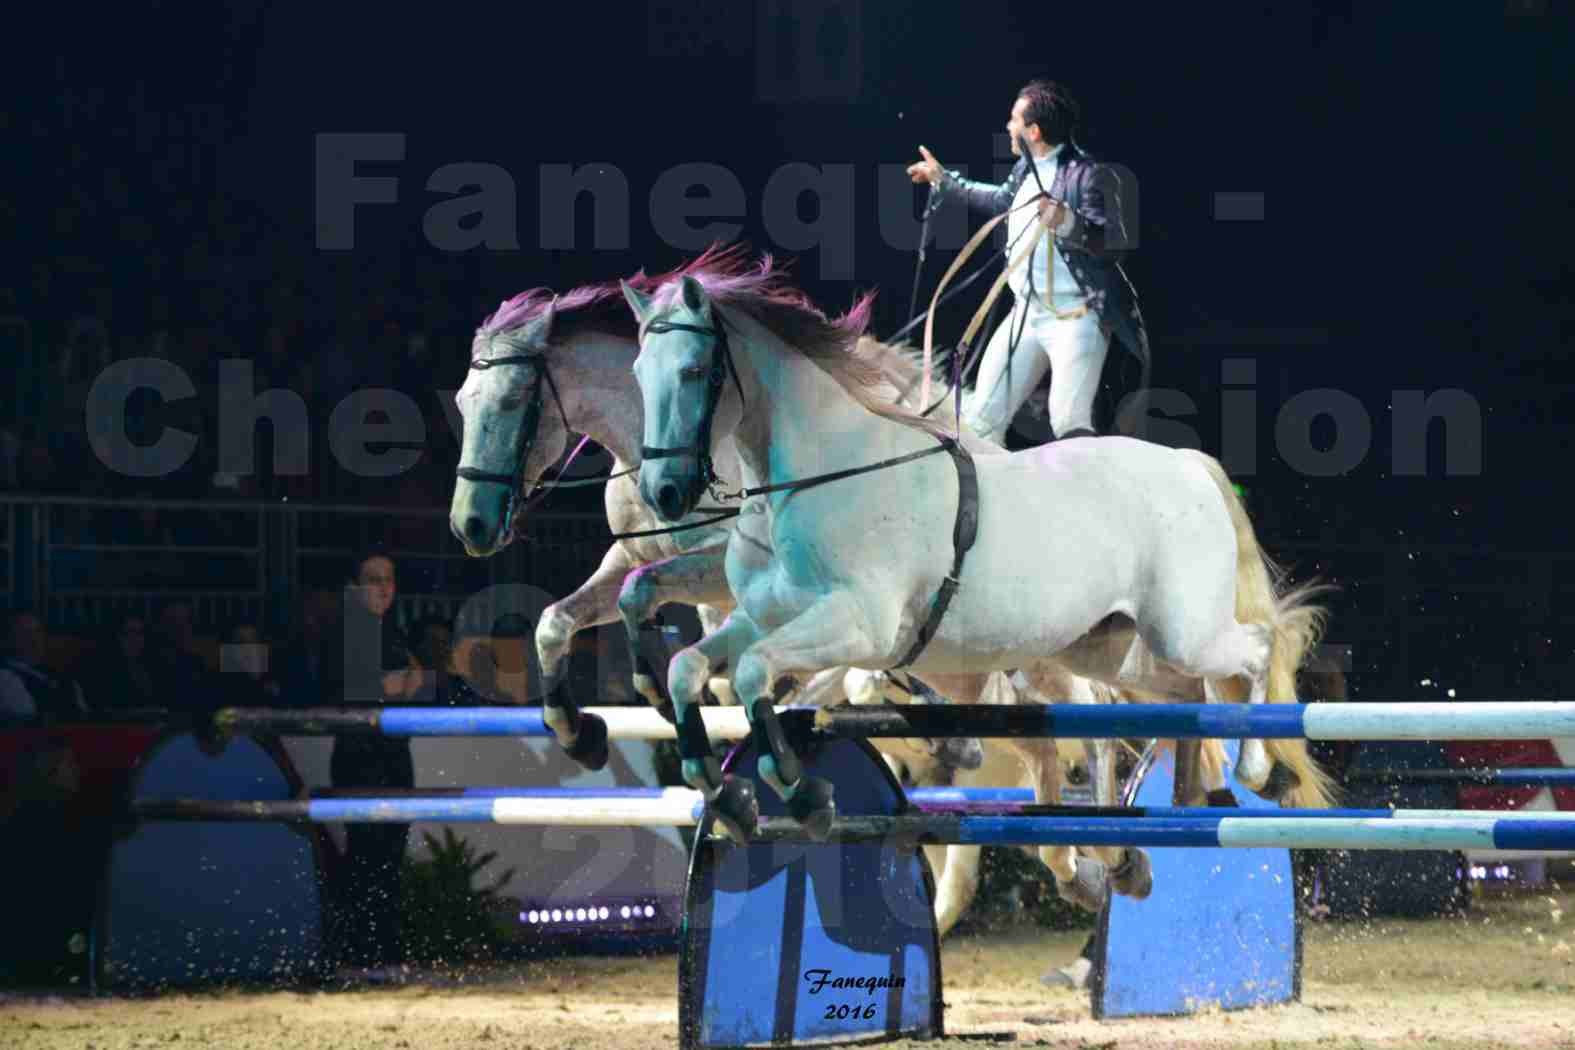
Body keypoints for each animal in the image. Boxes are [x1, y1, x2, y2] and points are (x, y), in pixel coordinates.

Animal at [620, 255, 1335, 862]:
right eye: (637, 376)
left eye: (693, 371)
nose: (664, 494)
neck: (819, 476)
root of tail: (1190, 466)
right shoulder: (763, 618)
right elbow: (689, 668)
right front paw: (727, 795)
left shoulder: (858, 627)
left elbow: (752, 675)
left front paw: (803, 793)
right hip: (1110, 647)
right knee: (1190, 693)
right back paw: (1202, 792)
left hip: (1183, 631)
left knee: (1259, 649)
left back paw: (1257, 770)